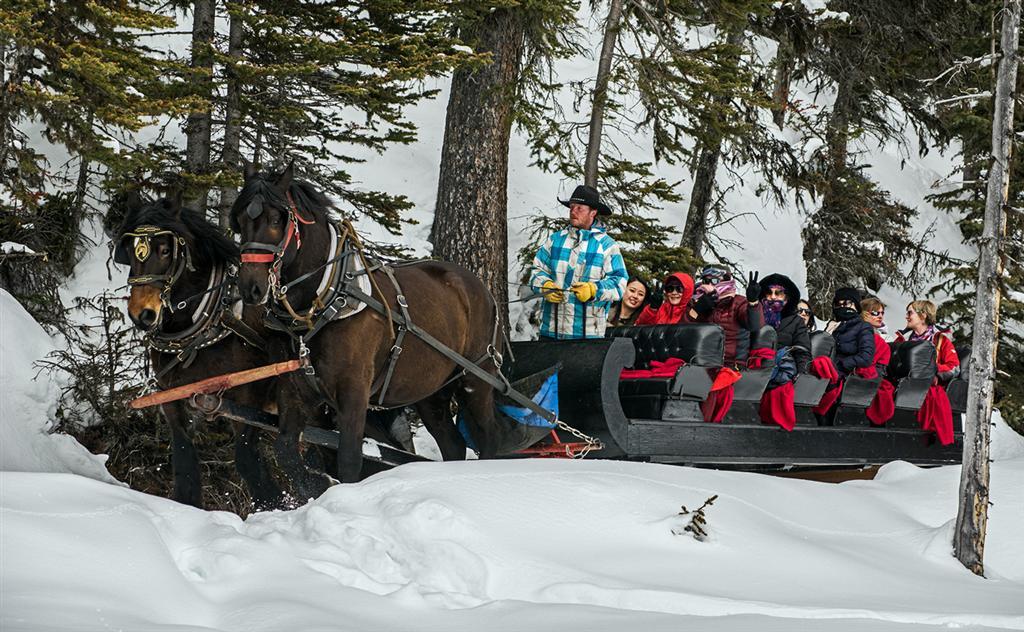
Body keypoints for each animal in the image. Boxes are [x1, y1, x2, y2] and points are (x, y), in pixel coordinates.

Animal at [116, 192, 284, 508]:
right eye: (131, 251)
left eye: (166, 250)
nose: (141, 314)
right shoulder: (171, 396)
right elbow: (184, 459)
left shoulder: (249, 397)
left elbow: (248, 462)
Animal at [232, 163, 503, 493]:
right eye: (240, 221)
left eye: (274, 220)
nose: (251, 288)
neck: (327, 298)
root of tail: (483, 290)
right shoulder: (295, 390)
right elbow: (286, 452)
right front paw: (317, 484)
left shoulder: (354, 392)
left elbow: (350, 461)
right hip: (431, 392)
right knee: (454, 445)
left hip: (476, 379)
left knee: (490, 439)